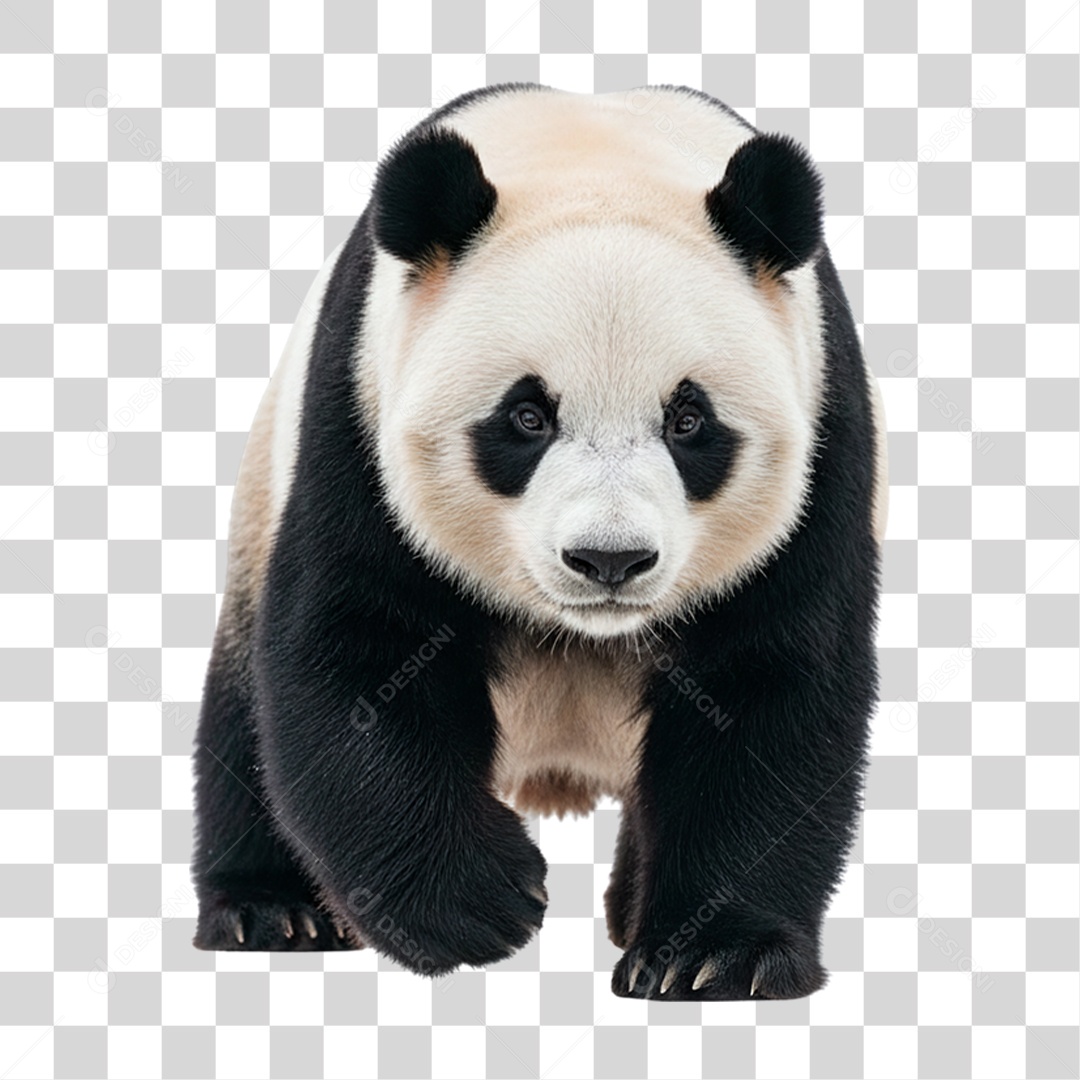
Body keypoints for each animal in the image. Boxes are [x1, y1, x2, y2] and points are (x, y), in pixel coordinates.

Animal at [192, 82, 888, 1001]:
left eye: (688, 420)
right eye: (526, 417)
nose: (609, 560)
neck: (592, 155)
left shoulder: (823, 438)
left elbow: (770, 689)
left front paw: (713, 958)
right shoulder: (356, 421)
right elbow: (360, 652)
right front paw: (486, 901)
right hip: (261, 491)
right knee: (243, 709)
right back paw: (271, 912)